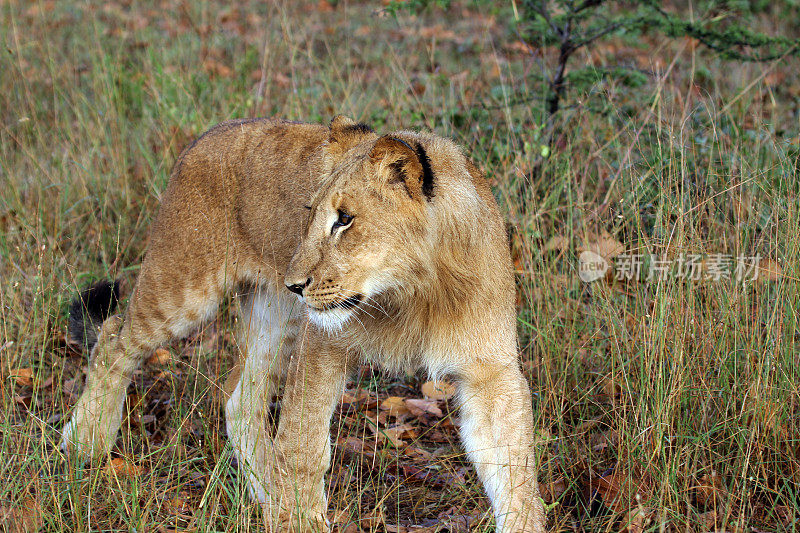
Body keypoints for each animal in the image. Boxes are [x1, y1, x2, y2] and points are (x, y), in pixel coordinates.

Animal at [62, 114, 548, 528]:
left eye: (345, 219)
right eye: (309, 214)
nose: (294, 284)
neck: (414, 292)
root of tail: (206, 135)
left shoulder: (490, 371)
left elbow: (515, 469)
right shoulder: (324, 343)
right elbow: (303, 447)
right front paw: (297, 519)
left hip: (276, 319)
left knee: (240, 400)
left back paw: (266, 496)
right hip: (183, 288)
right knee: (114, 341)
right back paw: (83, 443)